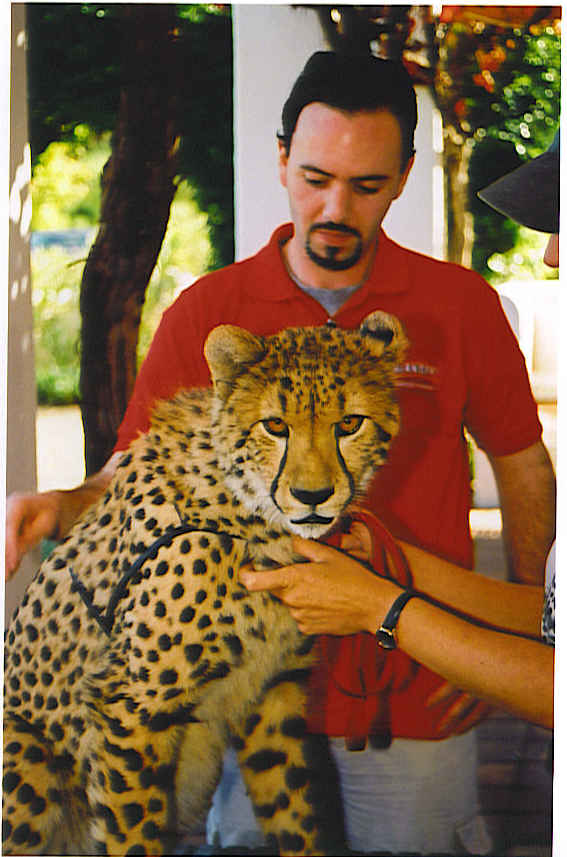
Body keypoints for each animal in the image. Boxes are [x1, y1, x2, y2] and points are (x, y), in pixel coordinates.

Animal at [3, 310, 408, 856]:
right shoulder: (128, 708)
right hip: (26, 762)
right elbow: (134, 836)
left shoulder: (274, 695)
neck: (249, 514)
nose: (313, 496)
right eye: (275, 426)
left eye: (349, 424)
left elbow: (295, 814)